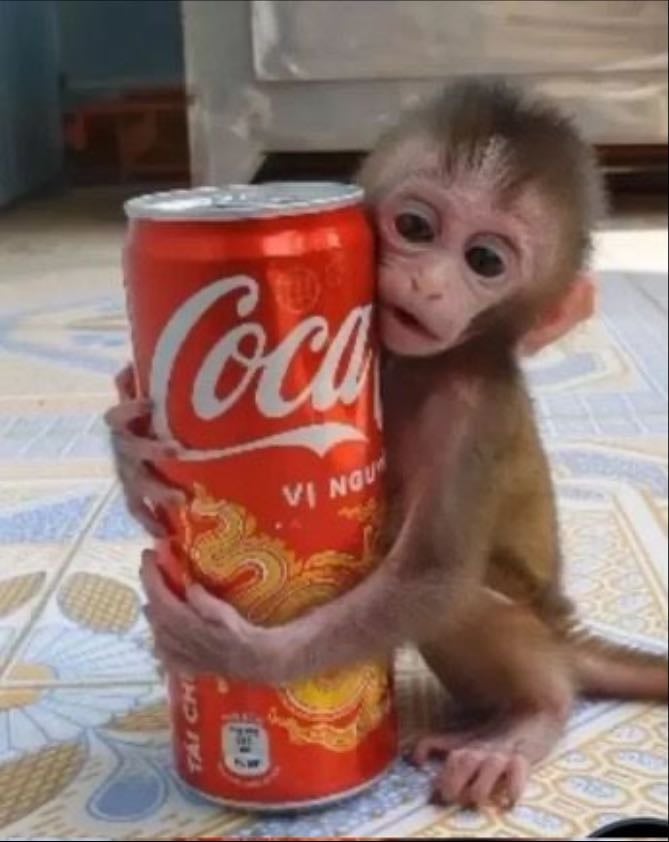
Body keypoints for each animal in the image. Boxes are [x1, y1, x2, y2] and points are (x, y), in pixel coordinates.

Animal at [106, 78, 667, 810]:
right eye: (415, 228)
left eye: (484, 261)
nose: (428, 282)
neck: (419, 364)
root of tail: (562, 632)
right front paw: (133, 450)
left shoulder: (471, 412)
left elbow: (430, 577)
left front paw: (240, 655)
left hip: (529, 636)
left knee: (464, 604)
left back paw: (526, 719)